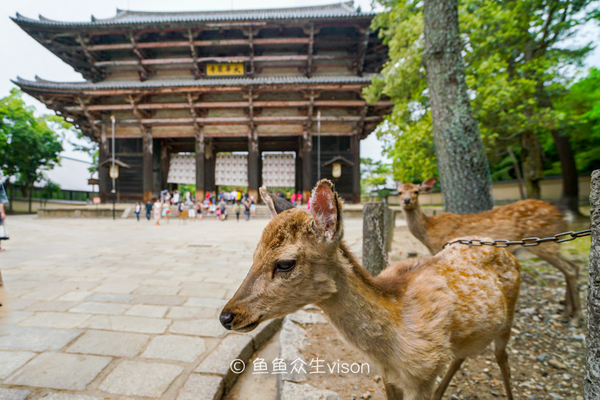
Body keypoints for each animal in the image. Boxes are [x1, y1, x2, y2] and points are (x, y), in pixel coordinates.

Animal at [220, 181, 520, 400]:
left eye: (285, 263)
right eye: (254, 255)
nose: (227, 316)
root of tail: (506, 249)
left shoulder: (424, 373)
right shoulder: (389, 376)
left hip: (508, 318)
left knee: (502, 357)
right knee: (462, 355)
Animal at [398, 178, 580, 324]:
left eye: (416, 191)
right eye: (399, 191)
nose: (406, 200)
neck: (429, 231)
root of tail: (565, 215)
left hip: (545, 241)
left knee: (570, 269)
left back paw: (575, 317)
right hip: (554, 243)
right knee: (573, 267)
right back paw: (567, 313)